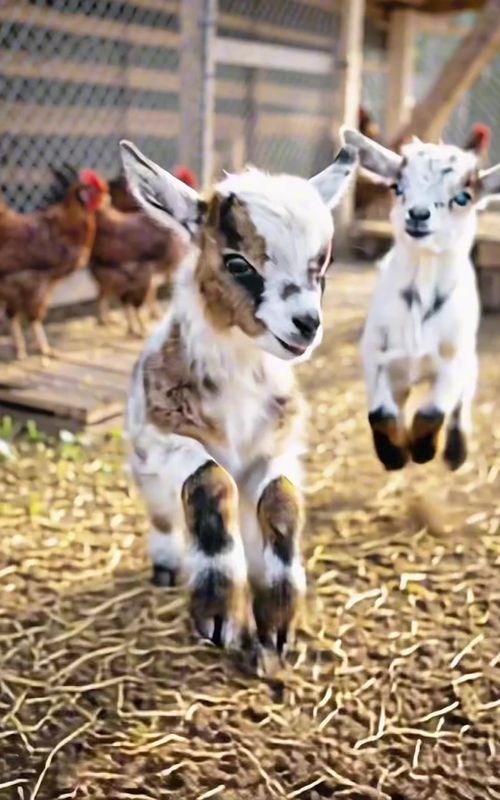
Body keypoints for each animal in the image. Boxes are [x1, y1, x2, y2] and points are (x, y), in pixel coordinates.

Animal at [120, 140, 358, 655]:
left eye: (322, 266)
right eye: (237, 263)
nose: (307, 324)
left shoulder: (277, 446)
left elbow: (282, 499)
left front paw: (278, 619)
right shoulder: (164, 436)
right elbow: (210, 482)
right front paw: (219, 614)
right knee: (164, 517)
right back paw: (167, 566)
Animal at [343, 127, 500, 472]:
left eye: (463, 198)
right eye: (397, 187)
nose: (417, 214)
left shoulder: (453, 361)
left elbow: (432, 412)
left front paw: (423, 451)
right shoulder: (375, 353)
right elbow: (381, 414)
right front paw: (395, 455)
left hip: (468, 361)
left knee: (462, 402)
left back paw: (455, 453)